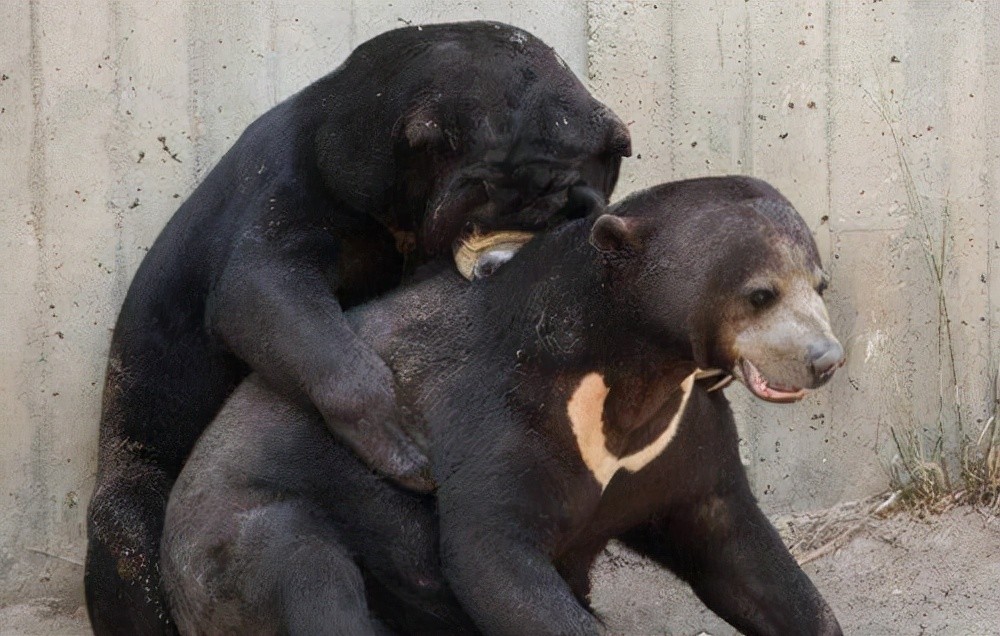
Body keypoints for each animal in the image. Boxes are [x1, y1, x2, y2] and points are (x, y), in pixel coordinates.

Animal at [85, 21, 631, 634]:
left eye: (575, 201)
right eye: (480, 203)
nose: (504, 261)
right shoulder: (303, 180)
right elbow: (260, 286)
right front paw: (402, 445)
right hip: (138, 473)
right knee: (129, 550)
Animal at [161, 175, 845, 636]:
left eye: (818, 283)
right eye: (760, 293)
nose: (825, 358)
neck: (630, 373)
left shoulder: (676, 444)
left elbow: (737, 545)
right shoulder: (503, 415)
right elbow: (491, 550)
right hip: (234, 541)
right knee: (308, 572)